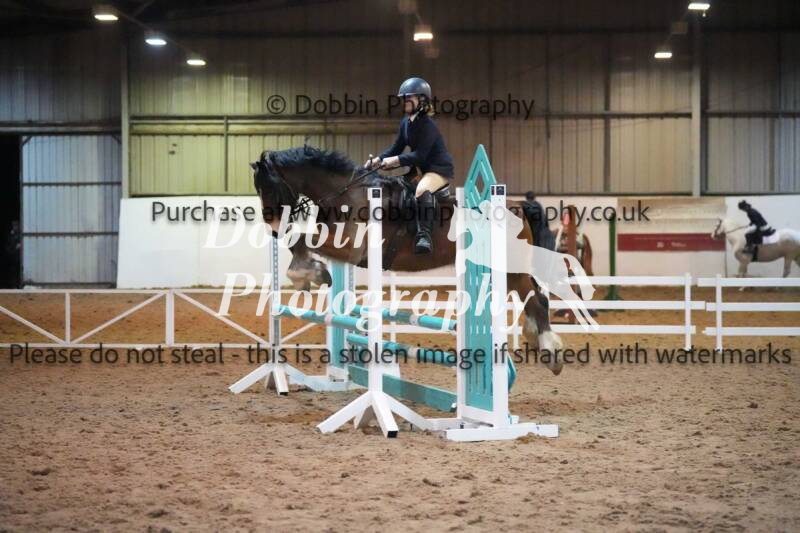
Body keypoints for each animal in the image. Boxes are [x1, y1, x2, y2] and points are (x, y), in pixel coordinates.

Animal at [251, 146, 566, 375]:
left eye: (268, 187)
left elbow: (302, 239)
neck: (346, 193)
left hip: (509, 269)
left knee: (536, 300)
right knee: (536, 297)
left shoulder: (352, 249)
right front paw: (309, 274)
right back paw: (537, 339)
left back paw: (551, 352)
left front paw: (311, 273)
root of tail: (518, 205)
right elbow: (299, 241)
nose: (274, 227)